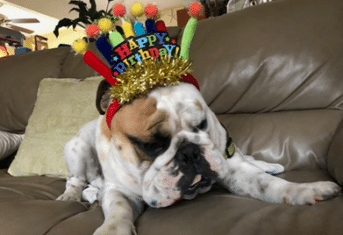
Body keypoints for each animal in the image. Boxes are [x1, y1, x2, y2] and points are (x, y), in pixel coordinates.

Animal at [57, 80, 342, 234]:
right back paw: (70, 196)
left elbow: (269, 185)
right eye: (150, 145)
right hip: (78, 148)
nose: (189, 152)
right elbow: (118, 211)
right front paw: (111, 230)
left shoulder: (234, 169)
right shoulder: (119, 190)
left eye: (202, 123)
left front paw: (305, 190)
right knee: (76, 180)